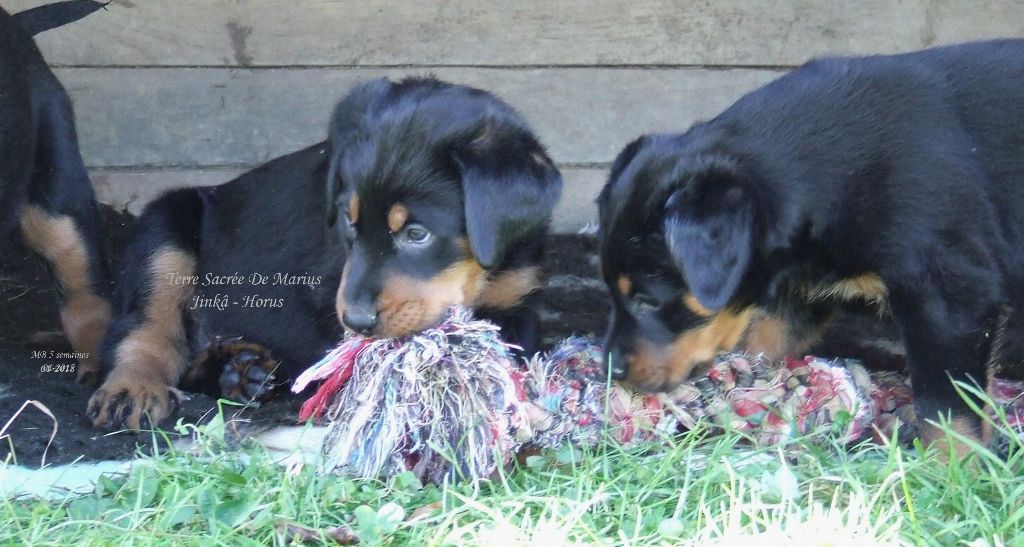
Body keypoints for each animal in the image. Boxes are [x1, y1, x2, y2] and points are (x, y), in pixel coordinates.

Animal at [89, 77, 565, 430]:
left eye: (417, 233)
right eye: (349, 221)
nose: (356, 319)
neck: (482, 270)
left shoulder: (516, 299)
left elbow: (506, 350)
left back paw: (238, 370)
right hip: (166, 229)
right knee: (146, 330)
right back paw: (132, 388)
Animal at [598, 39, 1024, 458]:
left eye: (647, 301)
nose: (610, 369)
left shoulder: (950, 296)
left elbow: (947, 410)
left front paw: (951, 470)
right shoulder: (803, 284)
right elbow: (765, 341)